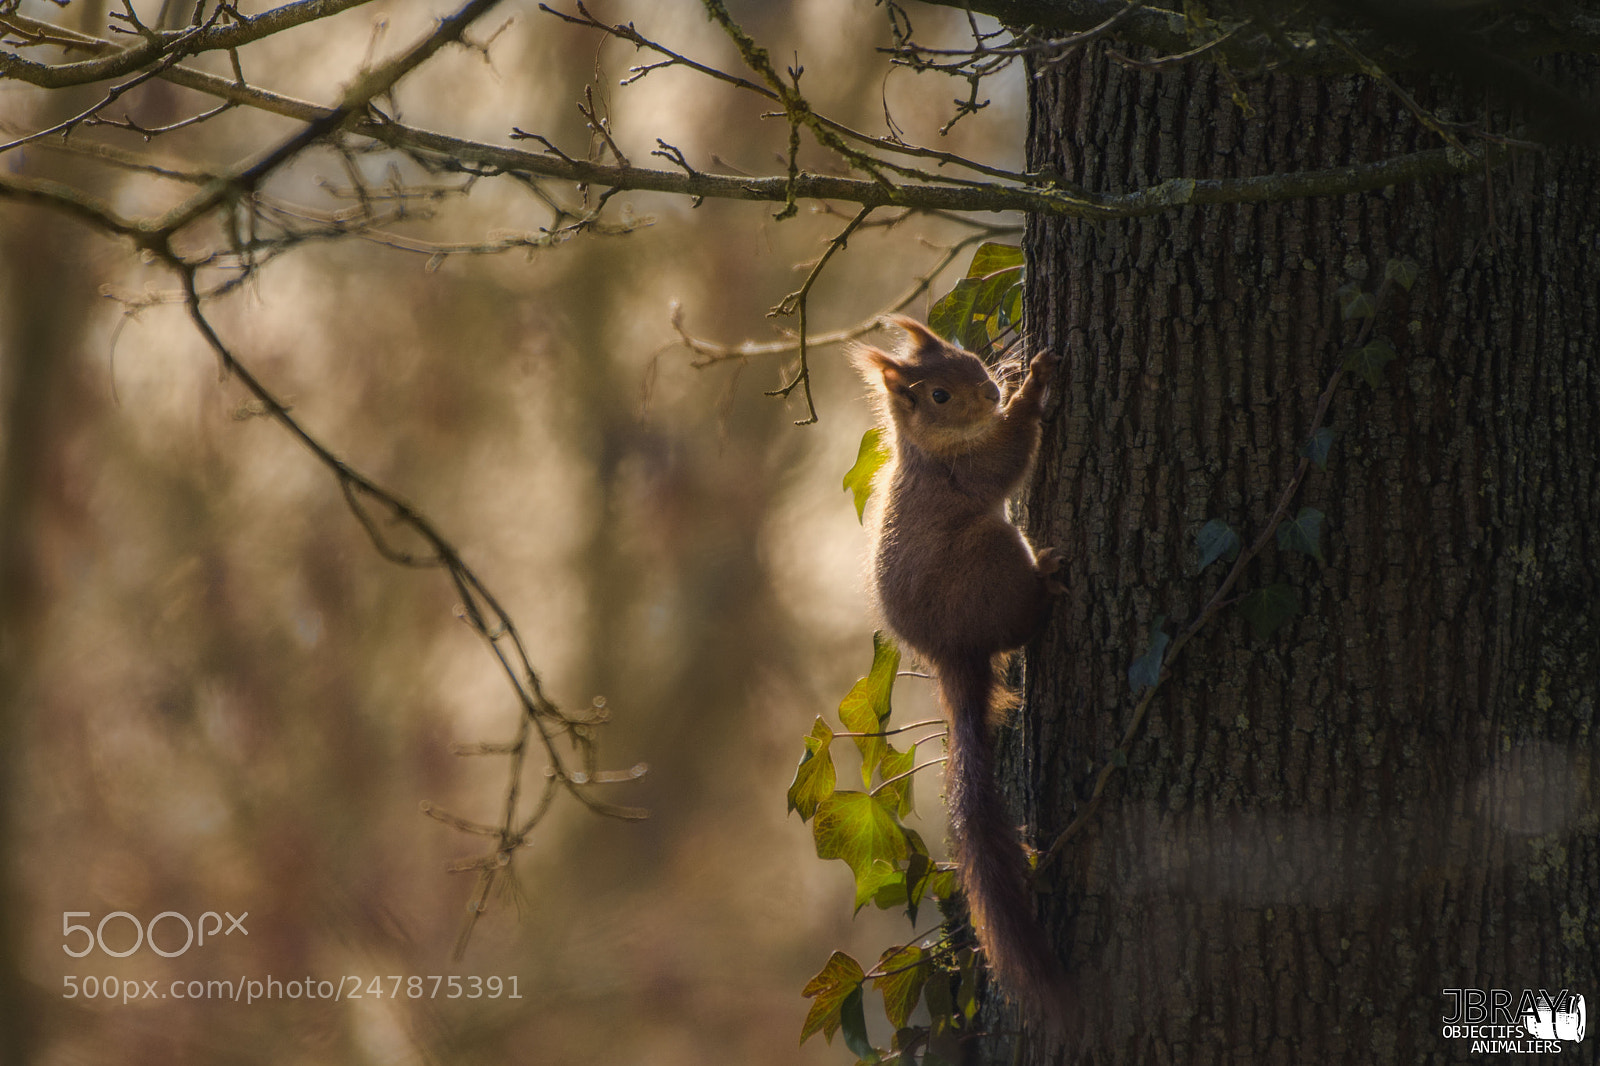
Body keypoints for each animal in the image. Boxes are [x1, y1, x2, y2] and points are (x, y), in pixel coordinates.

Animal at [852, 315, 1068, 1030]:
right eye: (939, 397)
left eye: (968, 357)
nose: (990, 390)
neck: (930, 448)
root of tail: (954, 653)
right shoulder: (966, 472)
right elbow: (1004, 458)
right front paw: (1033, 387)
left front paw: (1019, 371)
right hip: (992, 554)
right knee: (1020, 623)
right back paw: (1045, 584)